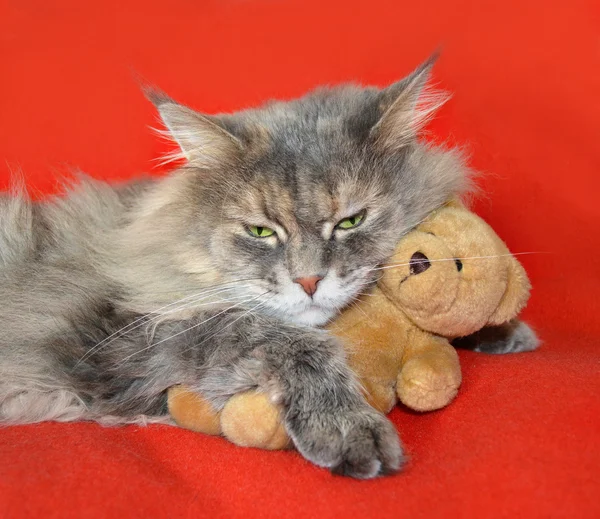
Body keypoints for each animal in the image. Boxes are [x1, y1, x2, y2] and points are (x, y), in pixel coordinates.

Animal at [0, 58, 536, 480]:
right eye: (261, 232)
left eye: (350, 221)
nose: (309, 281)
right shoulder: (116, 345)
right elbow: (278, 336)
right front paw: (347, 426)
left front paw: (504, 330)